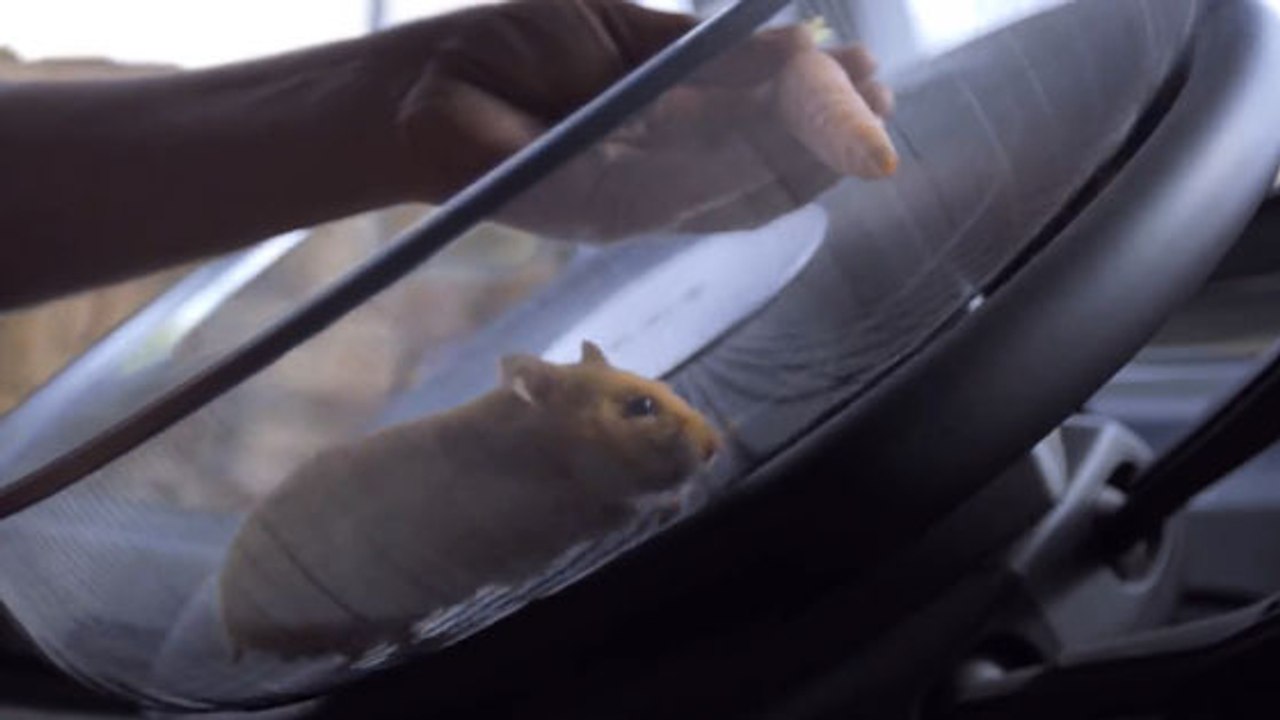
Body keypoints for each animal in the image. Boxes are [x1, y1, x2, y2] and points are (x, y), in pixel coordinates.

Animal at [217, 341, 719, 660]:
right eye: (640, 407)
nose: (714, 446)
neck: (543, 452)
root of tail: (233, 623)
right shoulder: (563, 516)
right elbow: (629, 508)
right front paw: (672, 502)